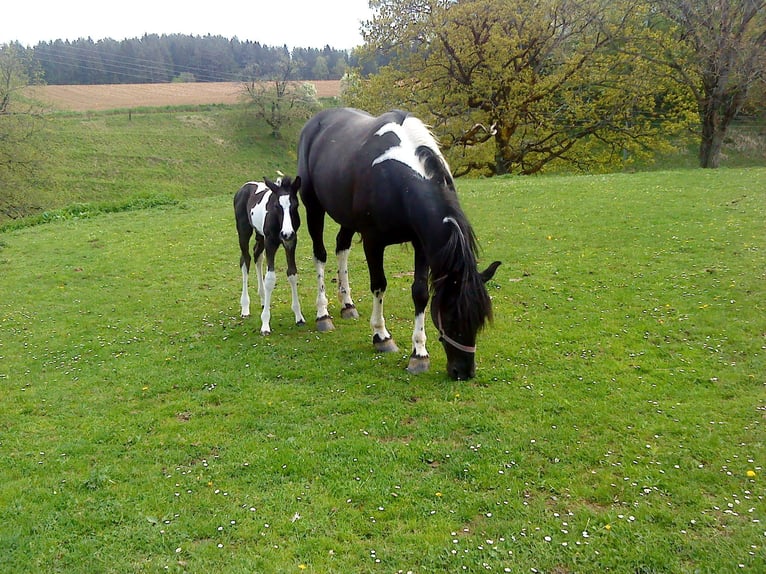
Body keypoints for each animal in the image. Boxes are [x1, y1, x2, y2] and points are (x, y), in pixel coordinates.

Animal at [233, 176, 305, 335]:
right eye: (277, 206)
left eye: (295, 205)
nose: (286, 233)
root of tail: (242, 188)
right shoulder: (271, 242)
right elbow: (270, 279)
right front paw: (265, 323)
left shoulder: (291, 242)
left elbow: (292, 273)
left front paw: (299, 316)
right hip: (244, 231)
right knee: (245, 260)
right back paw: (245, 307)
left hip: (260, 235)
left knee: (257, 255)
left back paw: (262, 298)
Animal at [297, 108, 500, 380]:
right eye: (451, 315)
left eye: (479, 320)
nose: (464, 372)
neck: (396, 179)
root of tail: (316, 122)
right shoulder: (373, 241)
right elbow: (379, 285)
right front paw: (381, 337)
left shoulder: (422, 243)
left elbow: (420, 293)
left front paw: (419, 354)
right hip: (314, 208)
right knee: (320, 255)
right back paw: (323, 314)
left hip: (347, 218)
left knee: (342, 247)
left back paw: (347, 305)